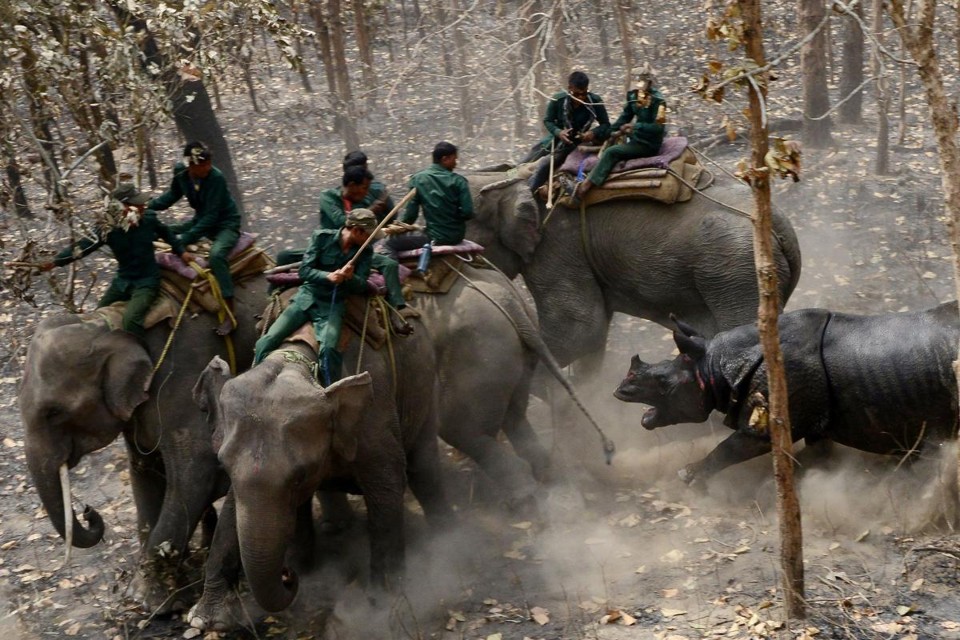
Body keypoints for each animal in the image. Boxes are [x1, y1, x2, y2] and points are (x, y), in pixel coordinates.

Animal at [20, 275, 268, 613]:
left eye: (54, 412)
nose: (88, 511)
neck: (109, 323)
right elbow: (145, 472)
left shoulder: (184, 375)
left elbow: (199, 470)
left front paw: (148, 603)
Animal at [187, 317, 453, 628]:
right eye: (224, 464)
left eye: (299, 476)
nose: (287, 575)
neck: (299, 358)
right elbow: (232, 506)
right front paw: (203, 620)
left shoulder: (374, 415)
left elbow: (388, 486)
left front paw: (383, 607)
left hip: (424, 387)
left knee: (423, 469)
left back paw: (447, 538)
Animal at [613, 302, 960, 486]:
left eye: (664, 385)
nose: (619, 390)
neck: (715, 365)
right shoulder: (816, 416)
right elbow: (818, 454)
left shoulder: (769, 420)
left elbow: (730, 448)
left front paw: (689, 476)